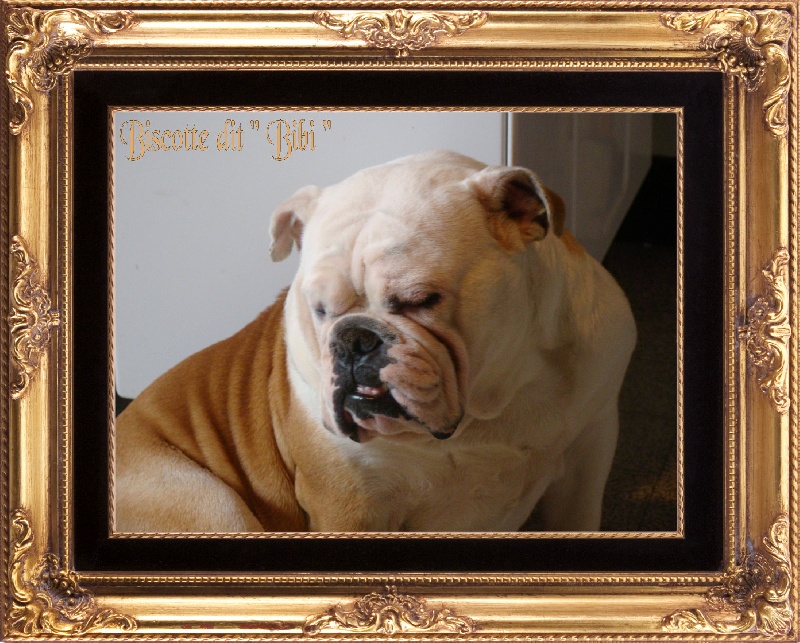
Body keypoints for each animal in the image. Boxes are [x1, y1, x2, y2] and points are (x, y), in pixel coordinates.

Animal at [115, 150, 636, 533]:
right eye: (320, 310)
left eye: (421, 299)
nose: (353, 339)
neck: (495, 401)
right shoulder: (349, 498)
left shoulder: (590, 449)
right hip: (212, 506)